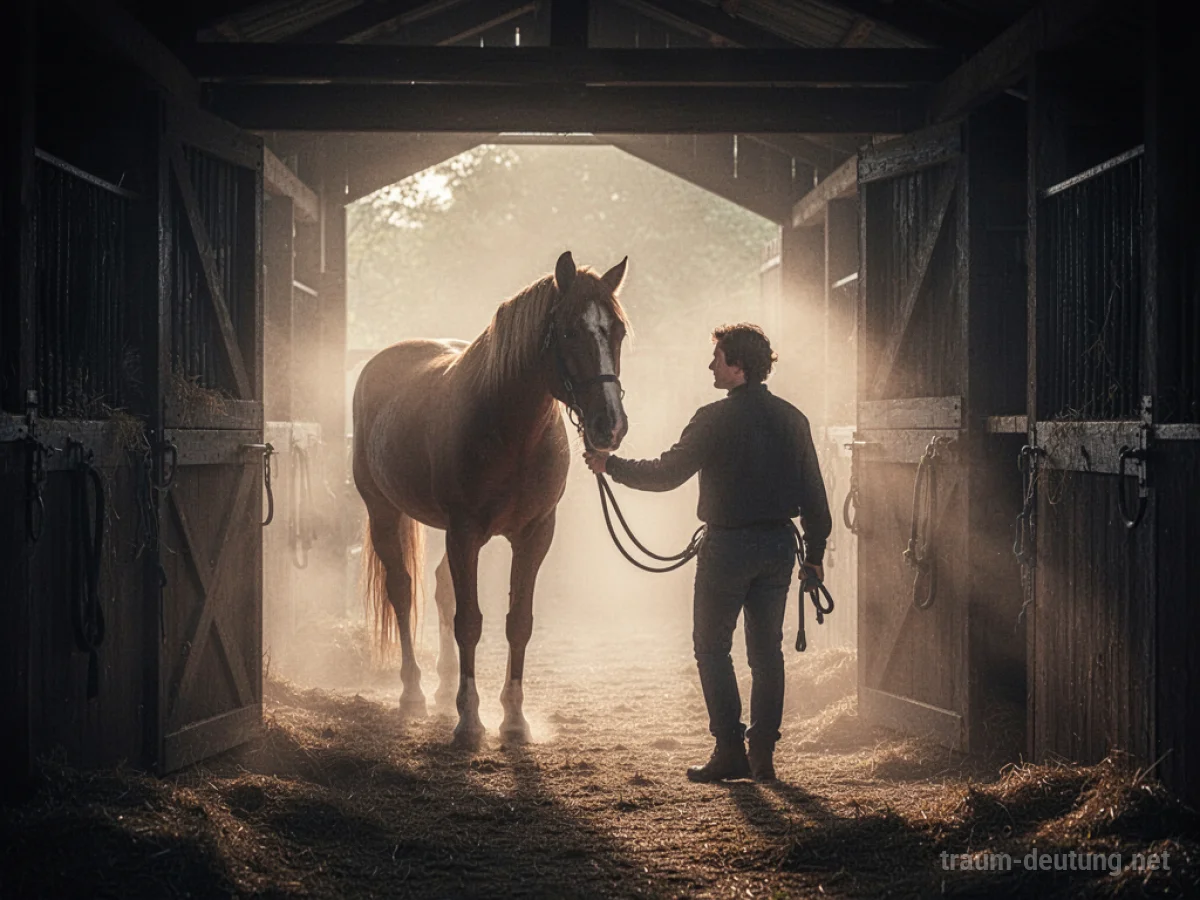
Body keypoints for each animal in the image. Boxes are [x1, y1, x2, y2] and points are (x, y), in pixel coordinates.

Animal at [352, 251, 630, 747]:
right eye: (569, 332)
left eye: (616, 331)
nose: (610, 425)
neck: (510, 433)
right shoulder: (465, 533)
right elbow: (470, 622)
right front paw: (470, 722)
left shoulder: (535, 534)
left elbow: (518, 622)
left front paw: (514, 720)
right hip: (384, 511)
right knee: (402, 590)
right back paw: (414, 694)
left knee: (440, 588)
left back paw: (443, 690)